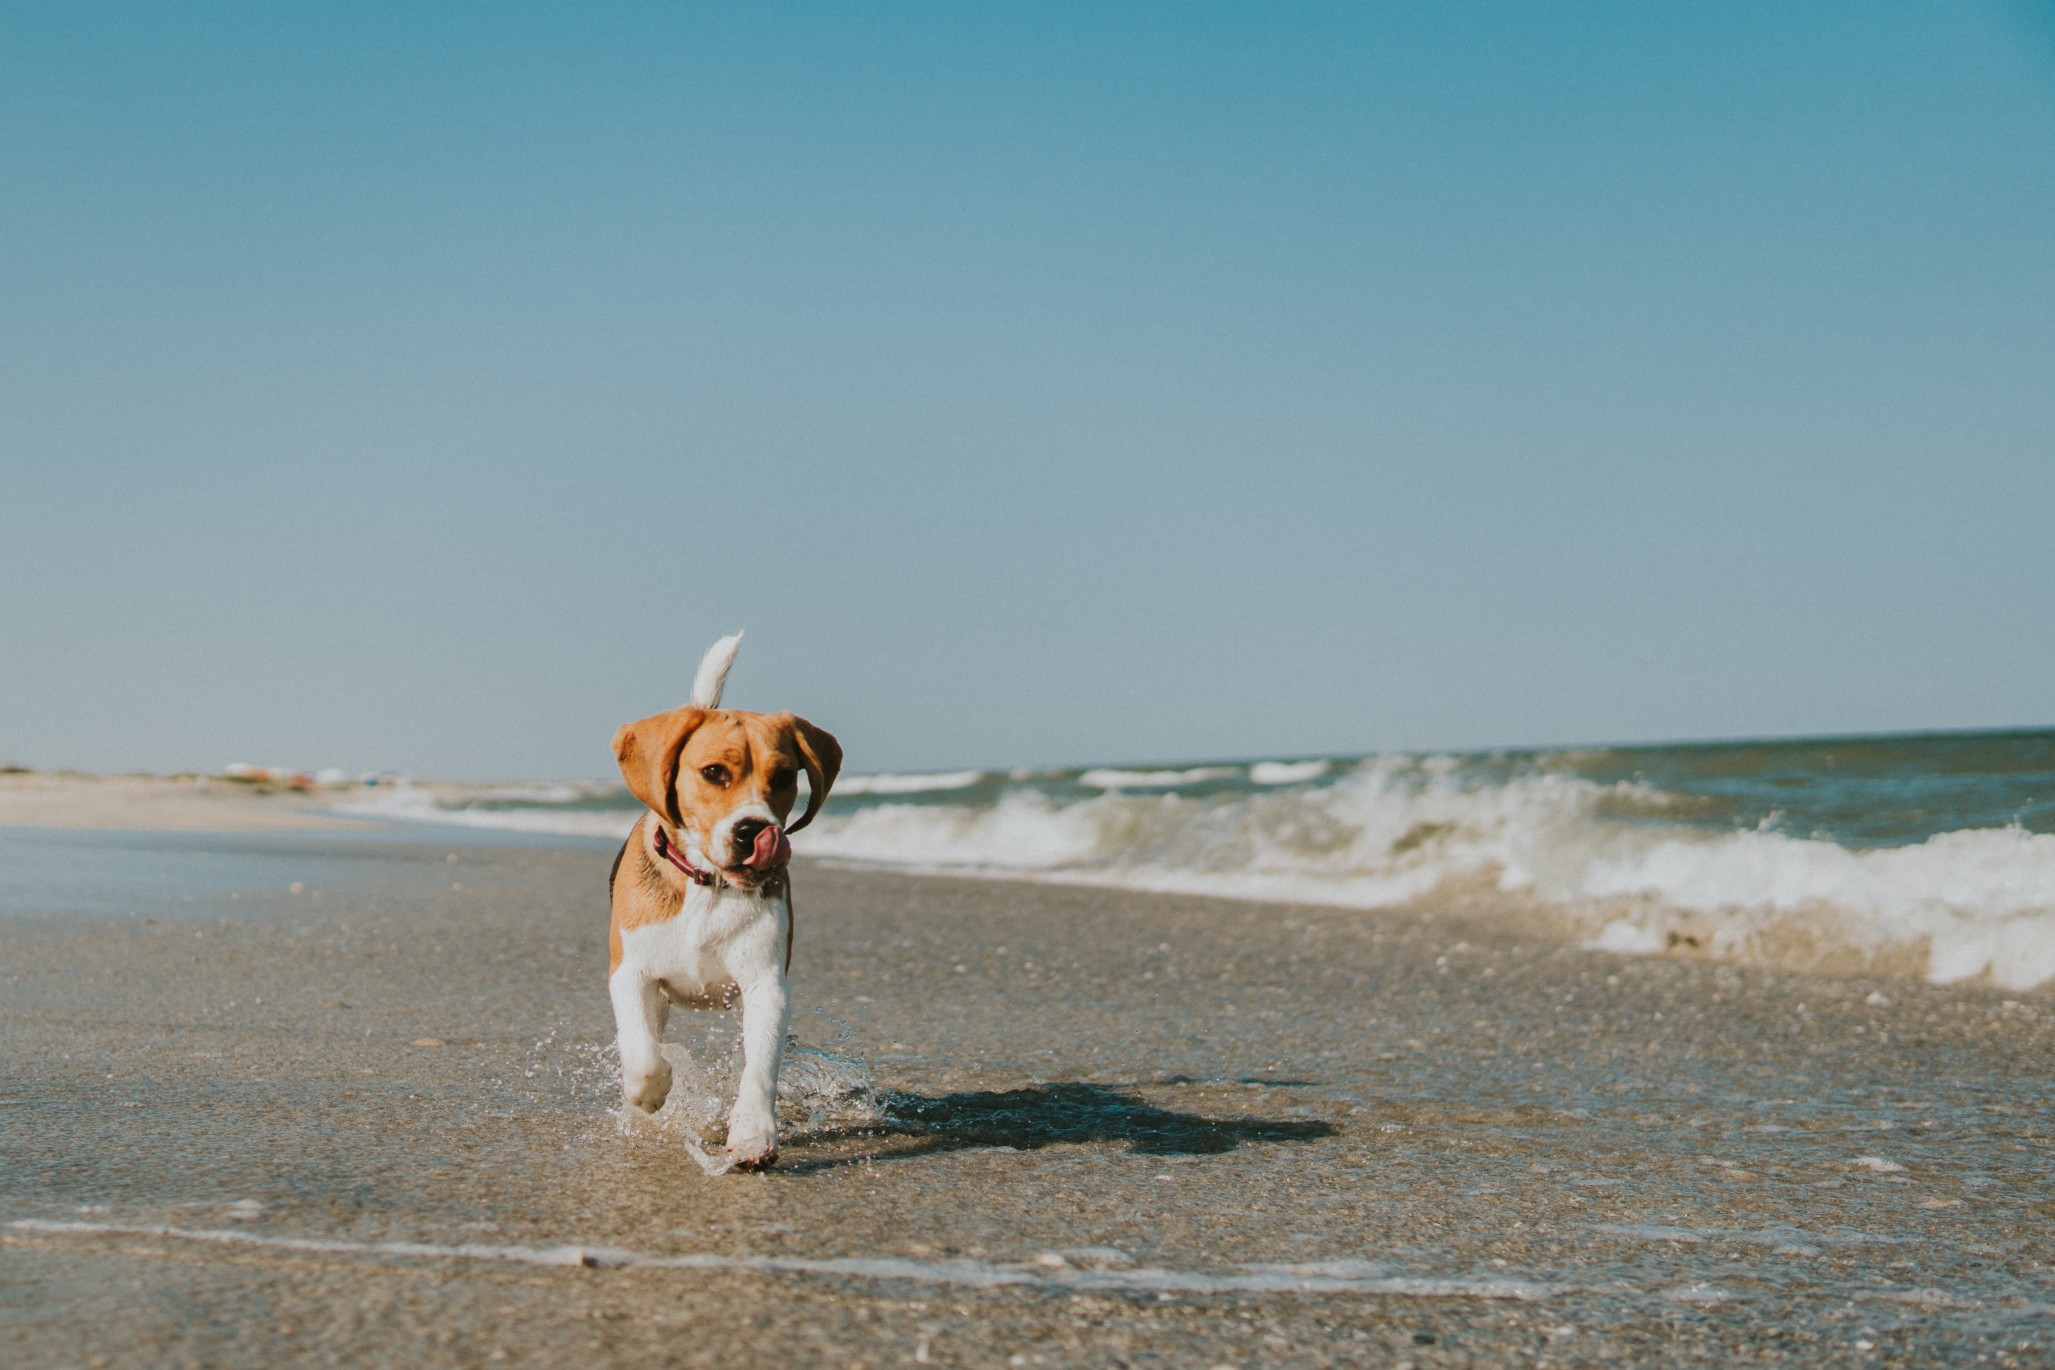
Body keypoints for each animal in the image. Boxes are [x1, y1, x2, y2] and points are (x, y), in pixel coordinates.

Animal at [604, 636, 838, 1174]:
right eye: (714, 772)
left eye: (784, 776)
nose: (754, 830)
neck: (708, 887)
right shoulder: (629, 974)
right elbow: (643, 1055)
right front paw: (649, 1095)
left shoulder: (766, 985)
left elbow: (759, 1067)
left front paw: (753, 1134)